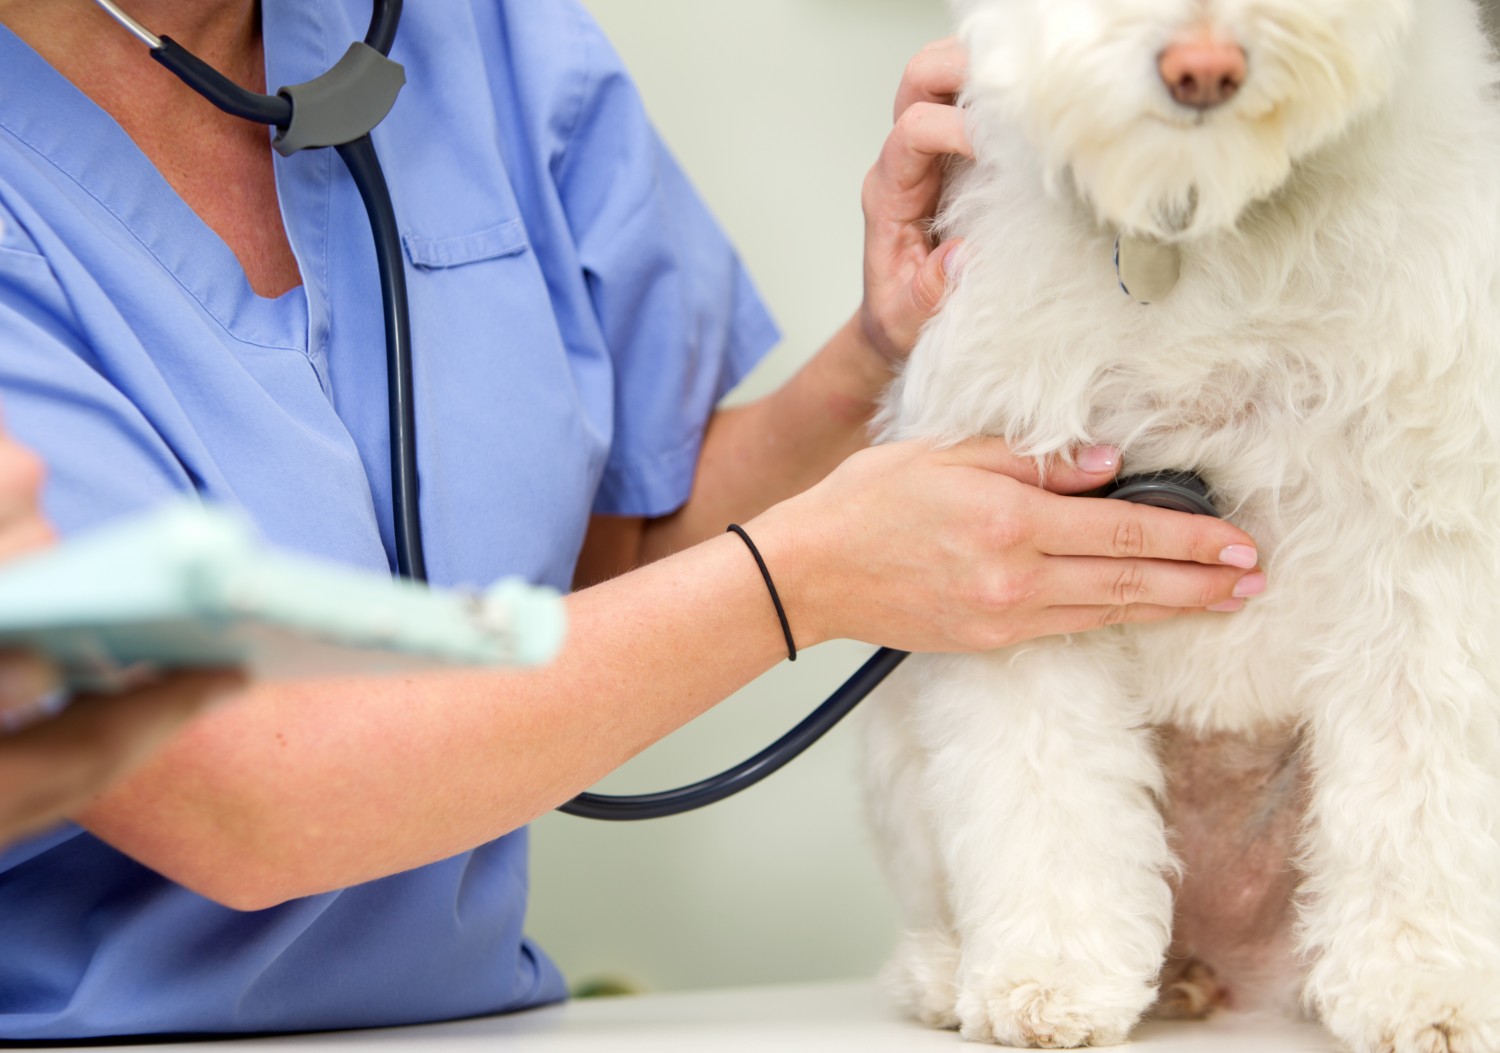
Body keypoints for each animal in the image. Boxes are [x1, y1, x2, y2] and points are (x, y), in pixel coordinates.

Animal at [864, 0, 1500, 1050]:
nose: (1204, 68)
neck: (1203, 219)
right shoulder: (1024, 549)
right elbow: (1044, 788)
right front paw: (1050, 976)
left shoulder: (1421, 543)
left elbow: (1416, 794)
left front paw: (1422, 984)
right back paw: (956, 969)